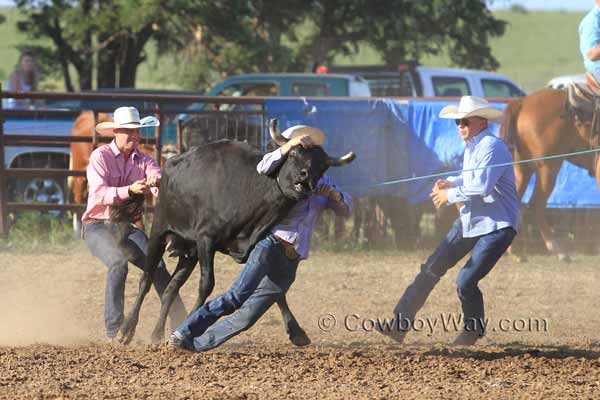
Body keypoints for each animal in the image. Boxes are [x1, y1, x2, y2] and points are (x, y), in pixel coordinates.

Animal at [496, 87, 600, 260]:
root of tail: (523, 102)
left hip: (522, 168)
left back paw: (515, 251)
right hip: (548, 168)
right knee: (536, 204)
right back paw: (556, 249)